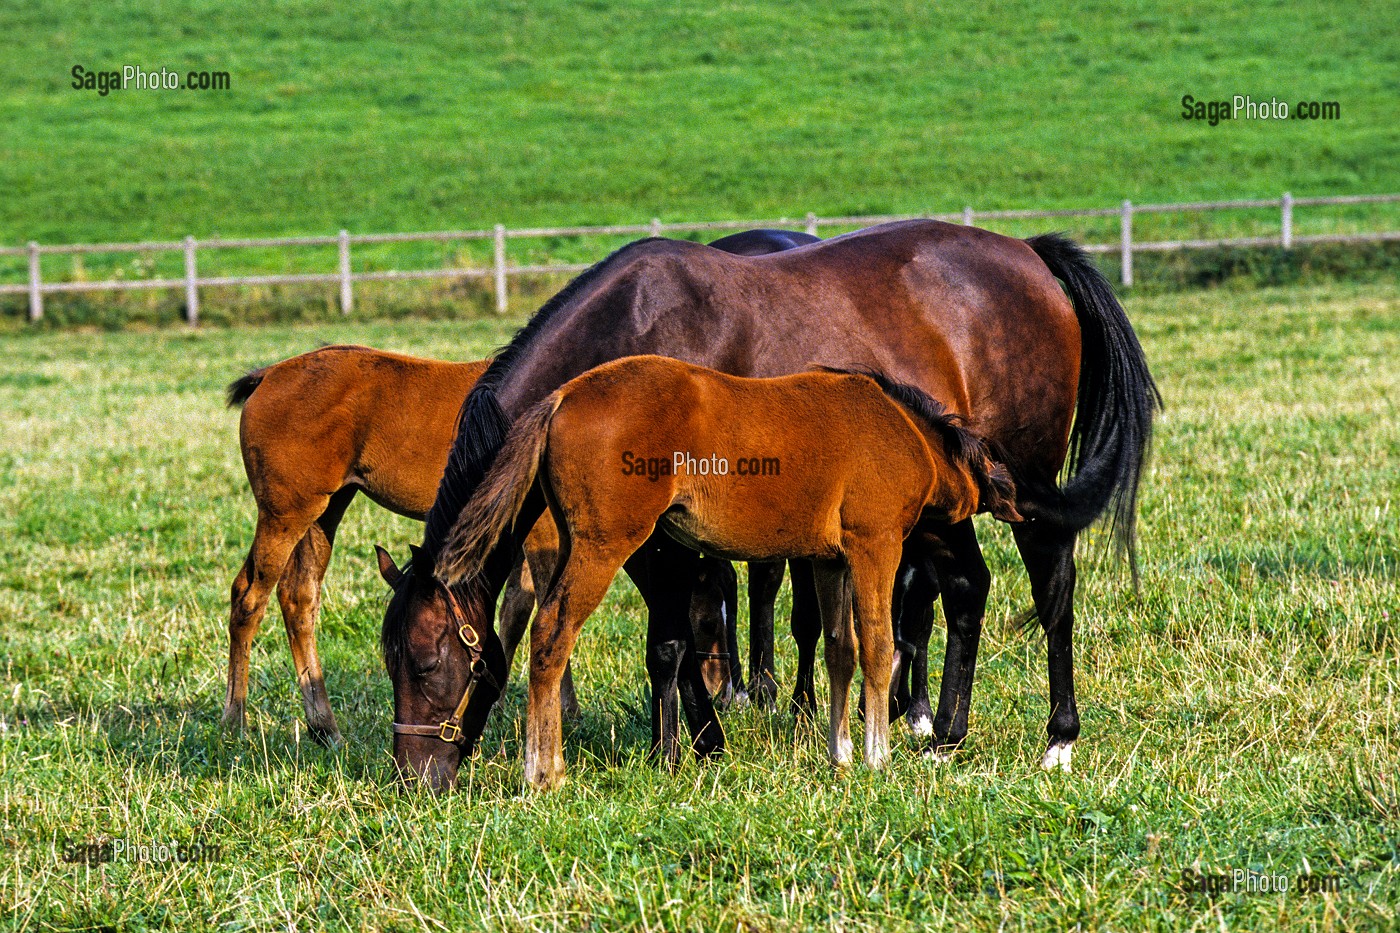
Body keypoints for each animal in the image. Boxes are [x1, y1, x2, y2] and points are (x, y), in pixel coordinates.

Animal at [224, 228, 818, 744]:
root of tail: (268, 375)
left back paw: (323, 724)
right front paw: (555, 710)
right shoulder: (541, 536)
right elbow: (533, 607)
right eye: (710, 609)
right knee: (249, 594)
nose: (727, 691)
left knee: (299, 596)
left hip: (324, 509)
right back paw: (235, 720)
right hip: (285, 512)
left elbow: (519, 607)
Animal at [417, 356, 1024, 788]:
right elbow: (876, 645)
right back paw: (545, 772)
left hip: (573, 544)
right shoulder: (873, 546)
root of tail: (562, 397)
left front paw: (841, 754)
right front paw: (876, 756)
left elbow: (839, 650)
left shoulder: (829, 561)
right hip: (602, 548)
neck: (903, 431)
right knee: (550, 637)